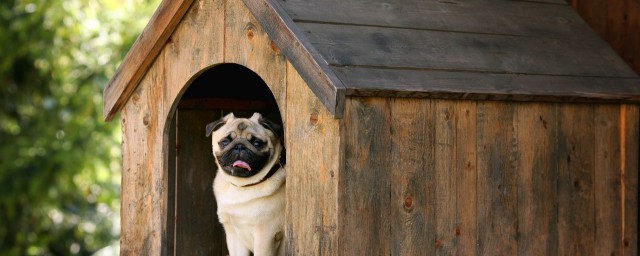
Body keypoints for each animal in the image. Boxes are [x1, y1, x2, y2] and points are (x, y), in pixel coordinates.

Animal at [206, 112, 286, 256]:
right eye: (225, 142)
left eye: (257, 143)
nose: (240, 146)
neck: (241, 187)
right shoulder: (233, 235)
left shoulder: (265, 236)